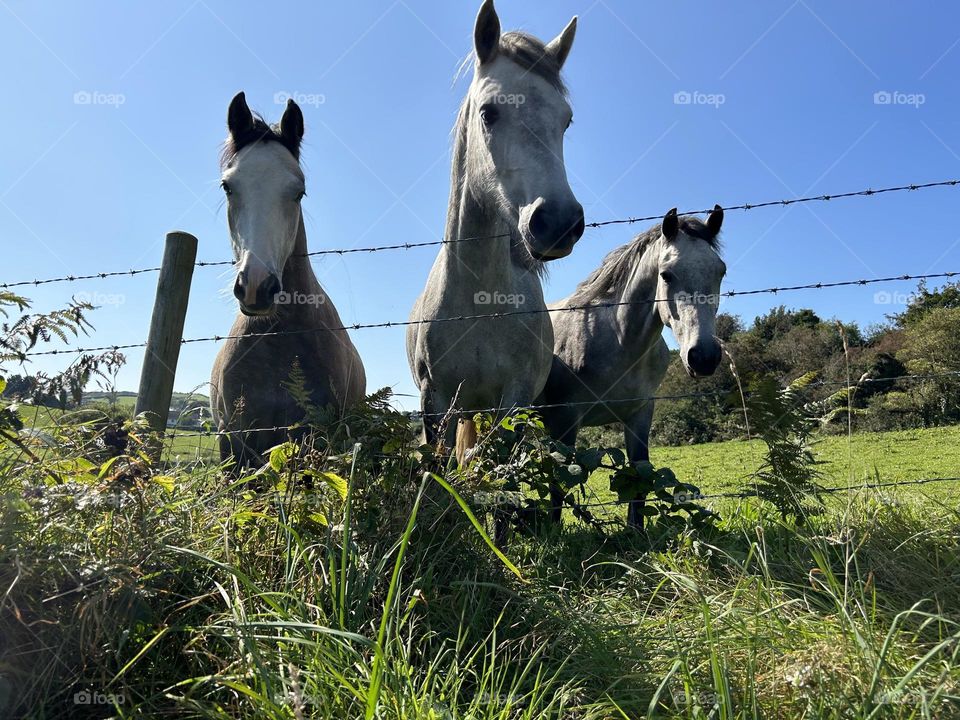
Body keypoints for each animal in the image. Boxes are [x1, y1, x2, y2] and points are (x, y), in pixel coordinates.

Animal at [406, 0, 584, 457]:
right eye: (489, 112)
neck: (480, 300)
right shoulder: (435, 401)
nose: (558, 223)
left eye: (566, 121)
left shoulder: (514, 401)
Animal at [539, 206, 726, 528]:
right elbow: (557, 484)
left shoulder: (640, 414)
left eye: (721, 271)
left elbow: (640, 473)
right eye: (666, 274)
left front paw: (635, 530)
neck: (617, 338)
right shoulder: (565, 420)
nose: (703, 356)